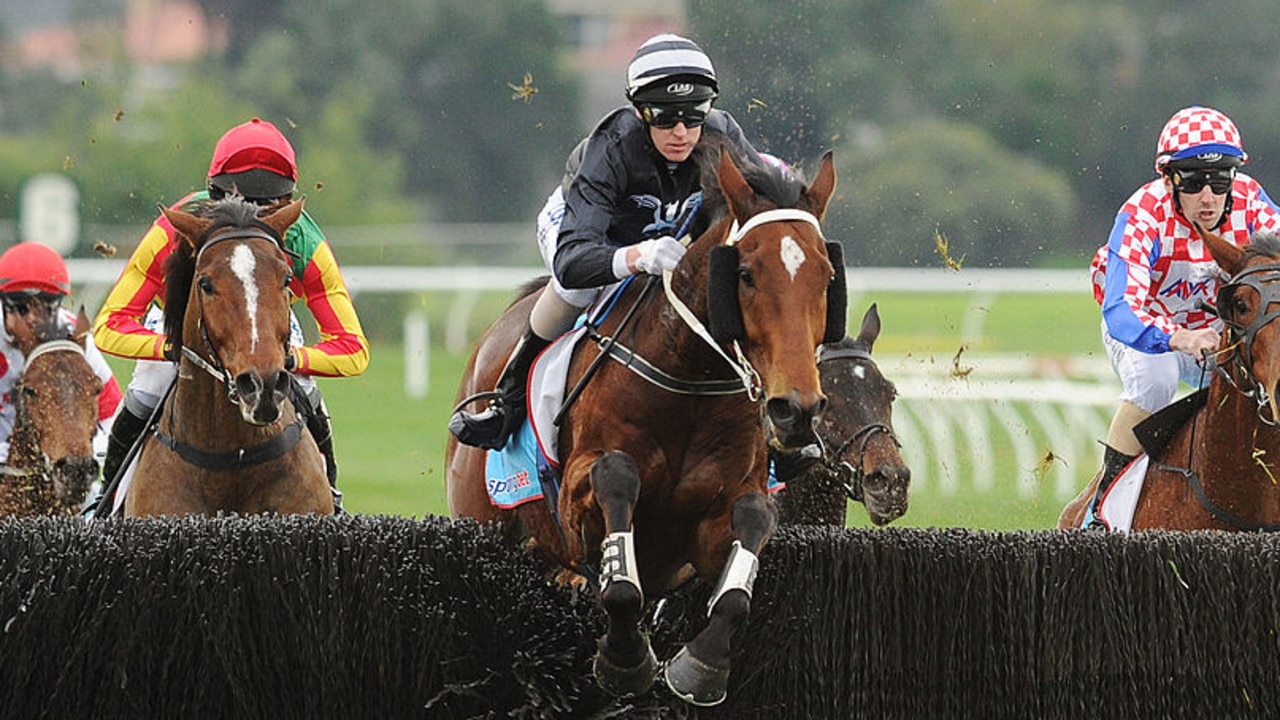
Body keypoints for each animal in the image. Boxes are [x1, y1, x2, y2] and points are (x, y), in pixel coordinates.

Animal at [445, 144, 844, 702]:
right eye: (745, 273)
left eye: (826, 277)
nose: (797, 408)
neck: (690, 380)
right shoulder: (576, 498)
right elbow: (619, 500)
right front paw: (626, 658)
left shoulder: (713, 522)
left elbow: (749, 537)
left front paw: (700, 665)